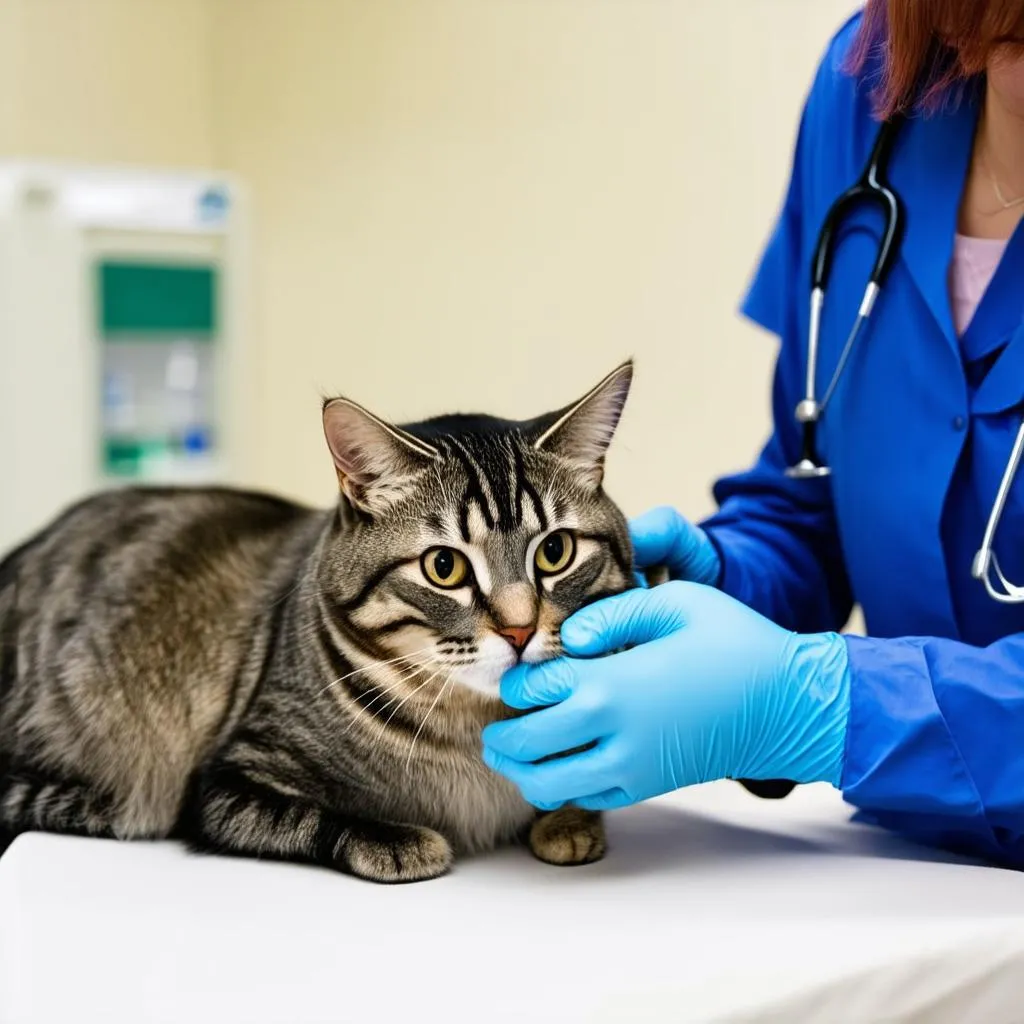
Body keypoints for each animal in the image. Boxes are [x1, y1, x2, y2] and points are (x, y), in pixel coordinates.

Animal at [0, 360, 638, 880]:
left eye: (554, 552)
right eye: (445, 567)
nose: (519, 629)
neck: (476, 725)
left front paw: (569, 821)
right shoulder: (226, 784)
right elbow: (323, 820)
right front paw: (401, 842)